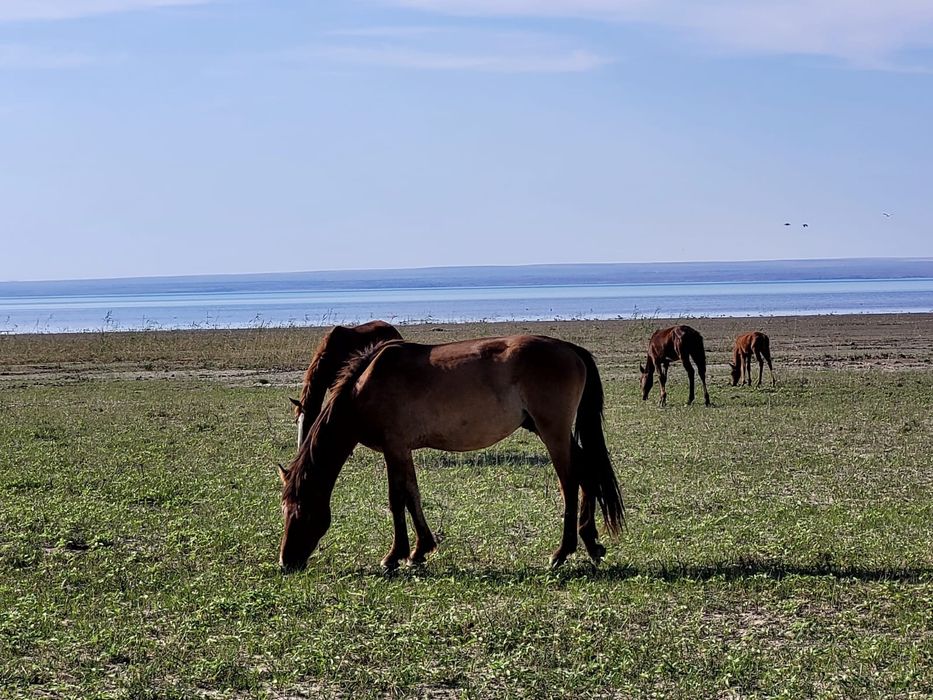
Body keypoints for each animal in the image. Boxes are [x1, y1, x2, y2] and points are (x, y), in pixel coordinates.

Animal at [277, 335, 625, 572]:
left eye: (300, 511)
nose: (286, 561)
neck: (365, 387)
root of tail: (570, 349)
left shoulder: (393, 447)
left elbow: (396, 499)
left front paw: (394, 555)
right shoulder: (402, 451)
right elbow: (412, 496)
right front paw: (420, 550)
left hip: (553, 433)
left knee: (571, 481)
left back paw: (563, 551)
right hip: (546, 430)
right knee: (587, 472)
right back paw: (591, 543)